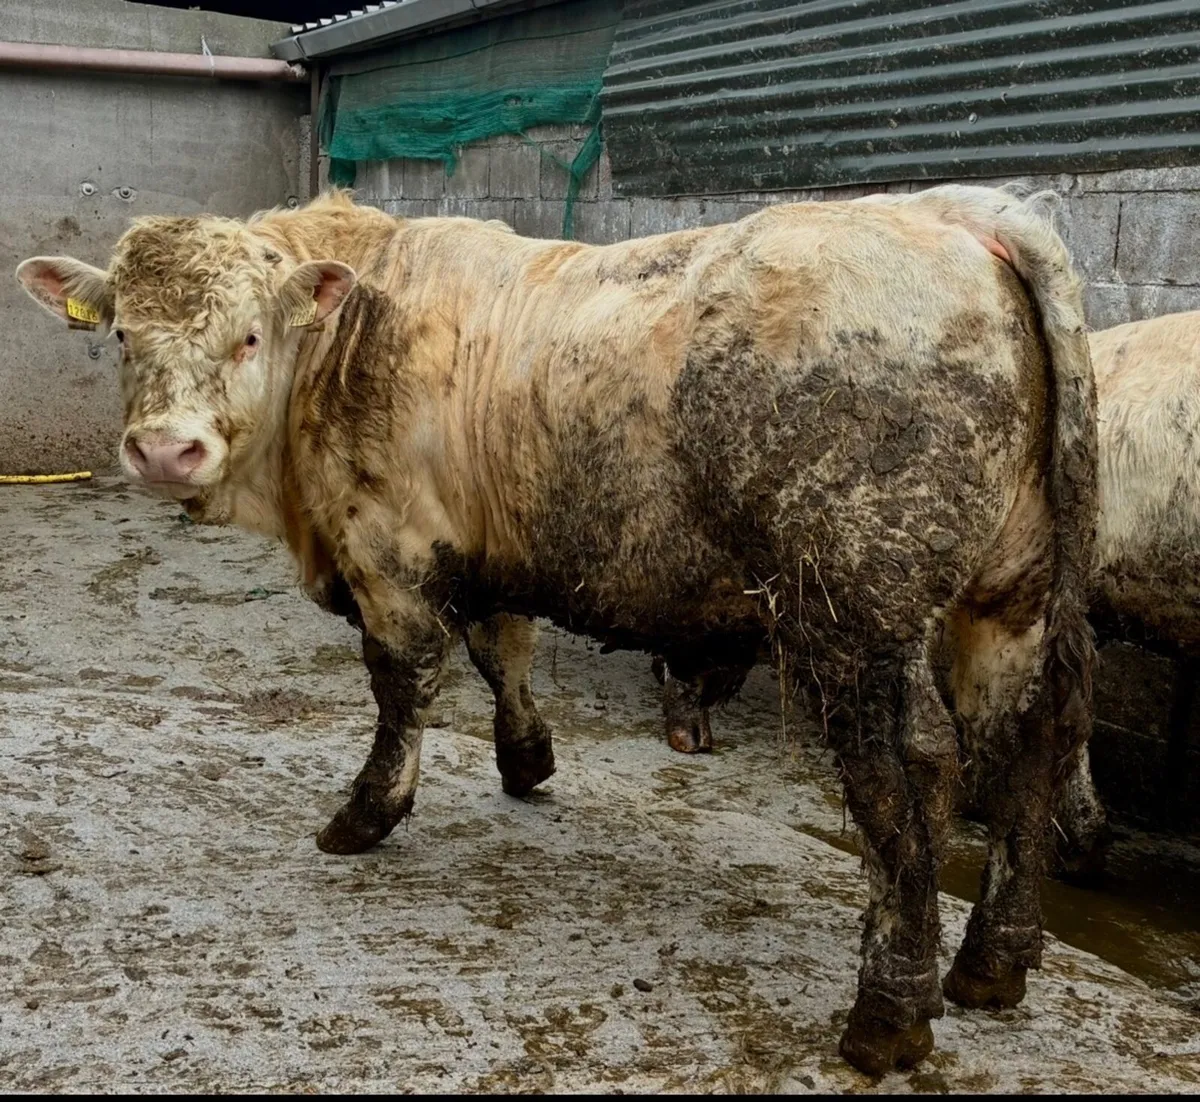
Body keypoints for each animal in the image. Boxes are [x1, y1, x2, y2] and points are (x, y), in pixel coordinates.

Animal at [16, 183, 1097, 1075]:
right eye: (122, 335)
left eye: (247, 337)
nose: (165, 450)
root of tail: (960, 213)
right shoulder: (486, 549)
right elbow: (506, 651)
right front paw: (526, 758)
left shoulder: (389, 555)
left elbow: (402, 685)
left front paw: (366, 813)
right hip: (1010, 598)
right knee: (1028, 748)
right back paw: (994, 960)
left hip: (856, 613)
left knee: (910, 773)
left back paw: (891, 1008)